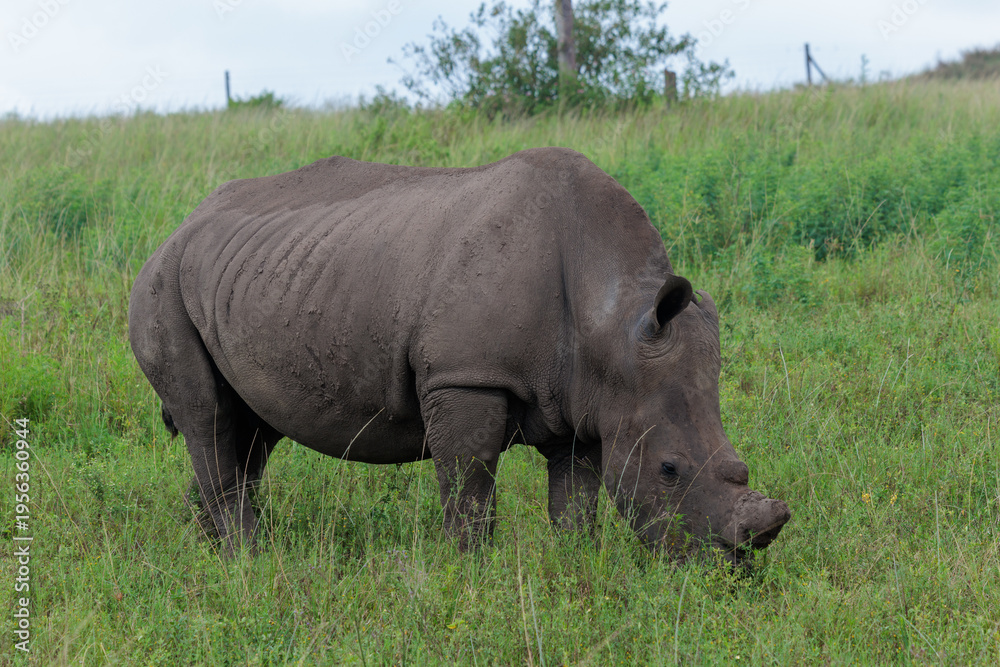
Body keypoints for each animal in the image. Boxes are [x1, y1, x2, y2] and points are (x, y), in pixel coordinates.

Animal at [129, 147, 790, 567]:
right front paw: (469, 576)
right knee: (209, 417)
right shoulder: (465, 377)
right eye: (670, 469)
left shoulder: (584, 401)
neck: (611, 317)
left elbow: (576, 498)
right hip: (161, 285)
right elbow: (470, 485)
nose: (732, 569)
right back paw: (250, 564)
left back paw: (211, 554)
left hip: (245, 276)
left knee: (249, 429)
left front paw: (574, 567)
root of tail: (178, 225)